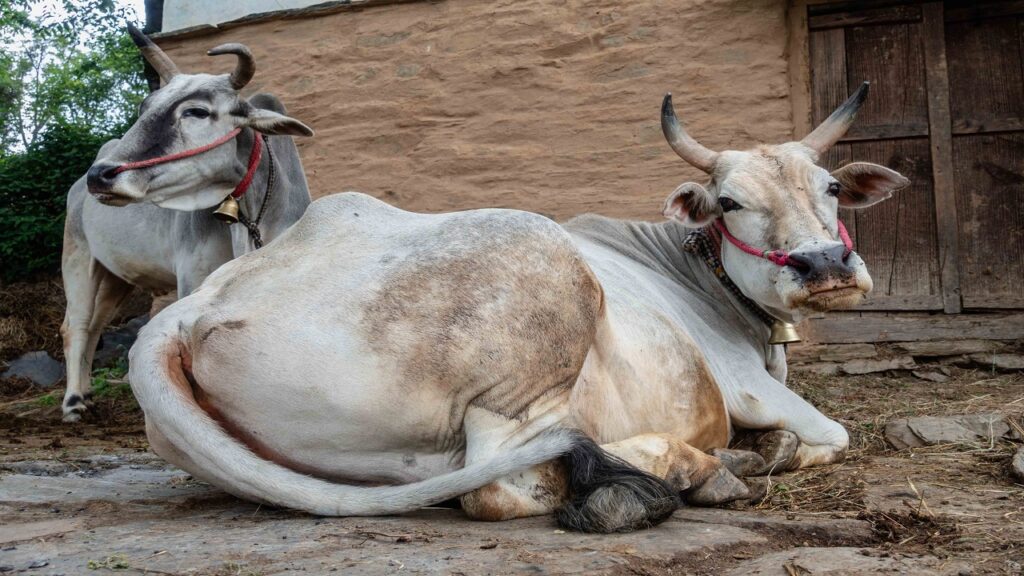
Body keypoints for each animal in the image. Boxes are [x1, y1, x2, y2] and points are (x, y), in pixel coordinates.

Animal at [59, 26, 313, 421]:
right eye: (144, 108)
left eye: (197, 111)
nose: (100, 175)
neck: (252, 219)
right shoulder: (193, 279)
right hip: (77, 256)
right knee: (77, 325)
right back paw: (72, 402)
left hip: (116, 277)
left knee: (97, 324)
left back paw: (86, 393)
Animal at [126, 83, 908, 533]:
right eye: (731, 202)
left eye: (830, 188)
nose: (825, 264)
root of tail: (189, 310)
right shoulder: (747, 388)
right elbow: (831, 434)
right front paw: (771, 449)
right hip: (531, 328)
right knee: (506, 483)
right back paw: (689, 472)